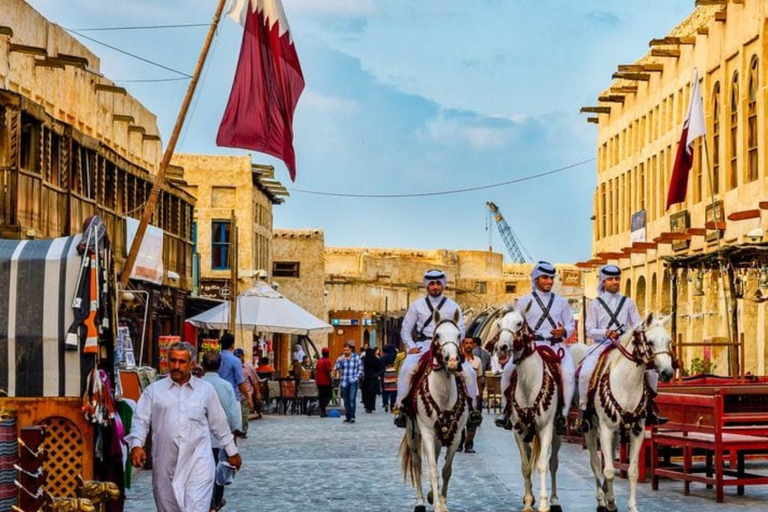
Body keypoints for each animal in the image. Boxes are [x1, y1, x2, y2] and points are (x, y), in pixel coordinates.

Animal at [400, 308, 472, 512]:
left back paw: (433, 495)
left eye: (459, 335)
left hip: (440, 436)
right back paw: (420, 501)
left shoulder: (456, 436)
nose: (453, 362)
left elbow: (446, 470)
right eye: (438, 335)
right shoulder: (427, 433)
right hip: (412, 433)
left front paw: (442, 501)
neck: (443, 396)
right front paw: (437, 505)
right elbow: (432, 469)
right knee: (417, 463)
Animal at [498, 308, 564, 512]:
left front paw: (543, 503)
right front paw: (528, 502)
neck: (529, 385)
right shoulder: (518, 431)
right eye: (499, 324)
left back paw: (554, 500)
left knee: (553, 463)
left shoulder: (546, 429)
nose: (501, 347)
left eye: (519, 323)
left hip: (556, 433)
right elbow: (526, 467)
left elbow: (543, 465)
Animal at [584, 312, 672, 512]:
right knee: (595, 463)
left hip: (617, 432)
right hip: (592, 429)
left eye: (669, 341)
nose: (668, 372)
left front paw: (631, 506)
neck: (627, 385)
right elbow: (608, 470)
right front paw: (609, 501)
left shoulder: (637, 430)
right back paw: (601, 500)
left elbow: (632, 471)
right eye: (650, 342)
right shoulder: (605, 429)